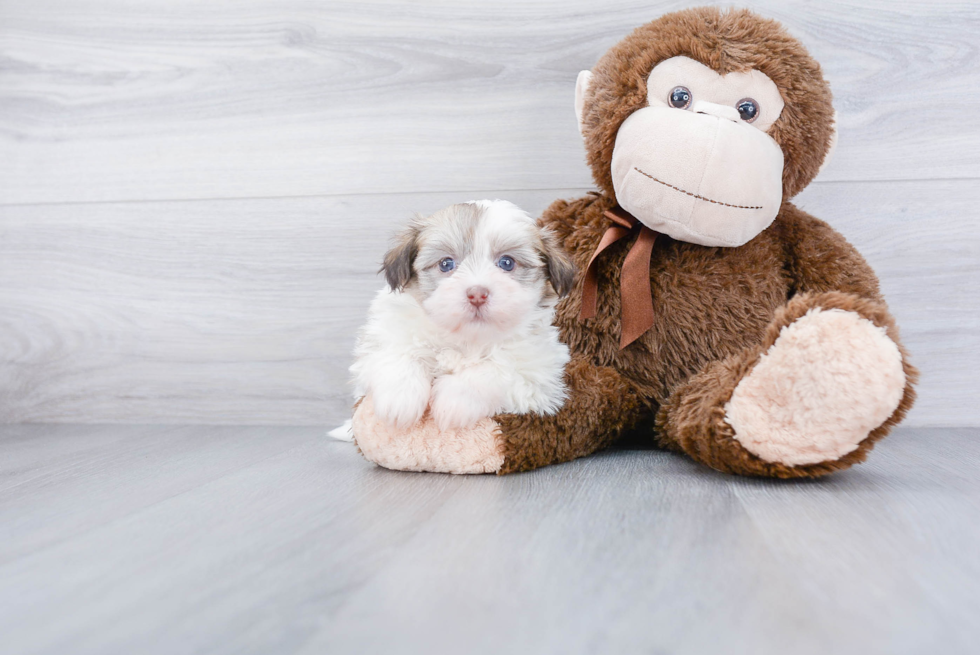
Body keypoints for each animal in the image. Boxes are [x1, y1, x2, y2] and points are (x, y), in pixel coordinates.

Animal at [342, 200, 576, 436]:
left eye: (507, 263)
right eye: (446, 264)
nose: (477, 294)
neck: (466, 337)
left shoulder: (539, 375)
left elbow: (498, 369)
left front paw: (454, 402)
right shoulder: (383, 336)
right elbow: (397, 353)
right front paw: (400, 399)